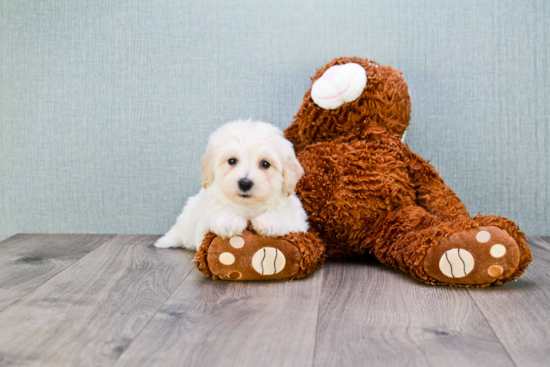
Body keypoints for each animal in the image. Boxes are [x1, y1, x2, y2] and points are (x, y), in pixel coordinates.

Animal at [155, 119, 310, 252]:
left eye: (265, 164)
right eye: (232, 161)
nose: (245, 183)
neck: (248, 206)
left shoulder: (299, 221)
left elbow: (283, 216)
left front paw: (270, 222)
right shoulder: (204, 222)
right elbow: (218, 212)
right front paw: (229, 221)